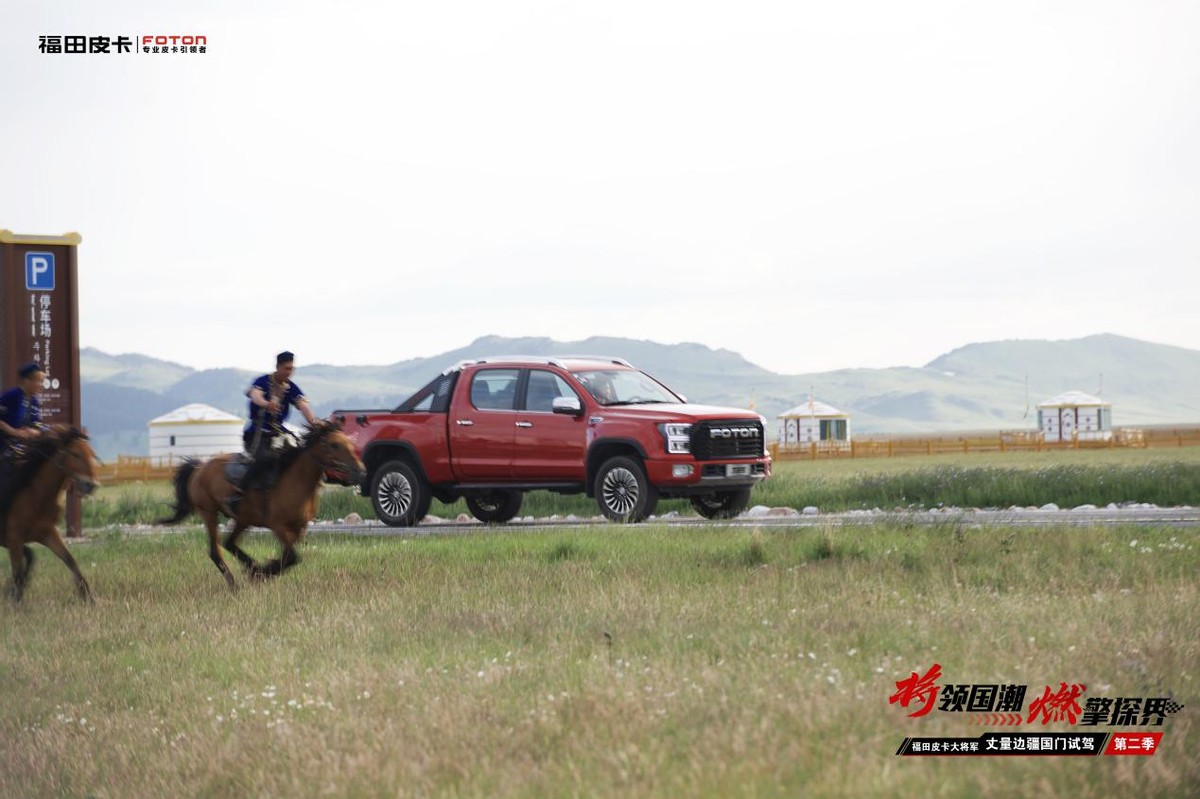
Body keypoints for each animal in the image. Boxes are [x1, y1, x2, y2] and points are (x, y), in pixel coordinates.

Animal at [3, 427, 98, 599]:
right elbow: (18, 574)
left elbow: (70, 561)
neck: (34, 496)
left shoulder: (47, 533)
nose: (91, 485)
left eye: (92, 454)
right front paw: (15, 599)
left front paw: (88, 597)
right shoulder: (14, 537)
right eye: (75, 454)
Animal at [159, 419, 364, 587]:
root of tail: (198, 467)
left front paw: (261, 572)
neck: (295, 480)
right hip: (209, 512)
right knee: (216, 551)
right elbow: (292, 557)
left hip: (243, 519)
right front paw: (263, 573)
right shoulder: (278, 526)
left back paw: (251, 567)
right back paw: (235, 585)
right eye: (334, 445)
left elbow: (289, 557)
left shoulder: (300, 527)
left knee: (229, 543)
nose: (361, 471)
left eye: (350, 443)